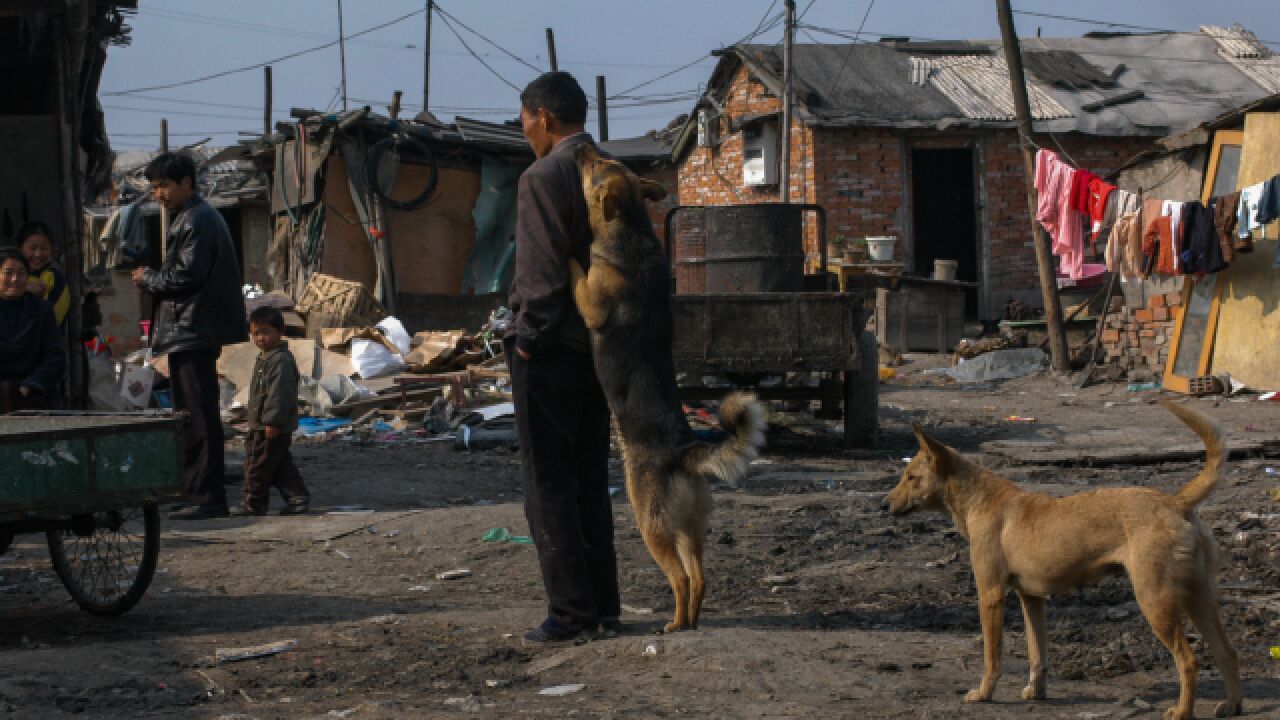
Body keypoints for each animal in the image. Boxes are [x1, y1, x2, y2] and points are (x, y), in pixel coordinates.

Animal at [573, 142, 768, 630]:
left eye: (595, 166)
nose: (582, 145)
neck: (630, 229)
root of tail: (685, 452)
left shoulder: (590, 303)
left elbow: (576, 269)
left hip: (651, 524)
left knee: (679, 578)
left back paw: (676, 623)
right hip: (690, 528)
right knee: (699, 578)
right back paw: (690, 620)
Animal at [890, 399, 1239, 712]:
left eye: (911, 477)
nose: (884, 504)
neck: (980, 499)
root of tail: (1175, 502)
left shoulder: (990, 595)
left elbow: (993, 657)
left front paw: (983, 693)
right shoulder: (1031, 599)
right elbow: (1037, 654)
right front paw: (1035, 692)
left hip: (1156, 601)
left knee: (1189, 661)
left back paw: (1181, 711)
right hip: (1198, 598)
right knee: (1227, 652)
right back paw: (1231, 705)